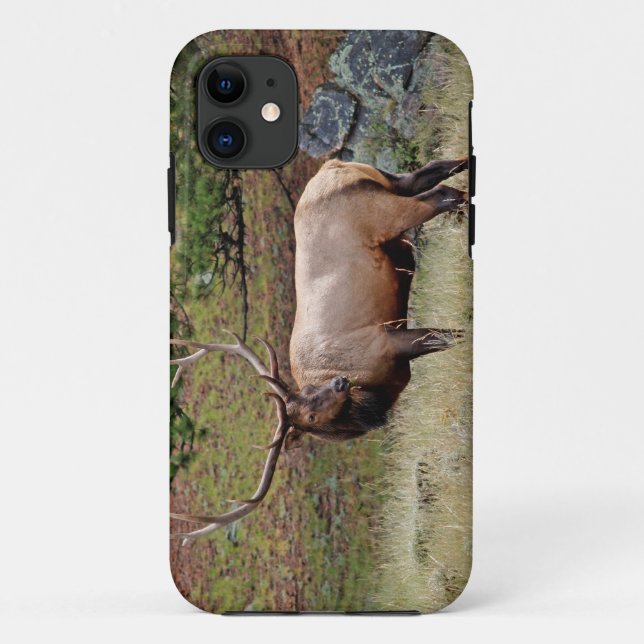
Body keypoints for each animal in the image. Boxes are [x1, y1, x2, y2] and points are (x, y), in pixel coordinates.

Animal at [170, 157, 468, 541]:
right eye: (310, 416)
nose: (341, 382)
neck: (372, 396)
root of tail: (332, 166)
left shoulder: (386, 340)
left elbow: (450, 336)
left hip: (383, 212)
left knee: (442, 194)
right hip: (391, 183)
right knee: (436, 169)